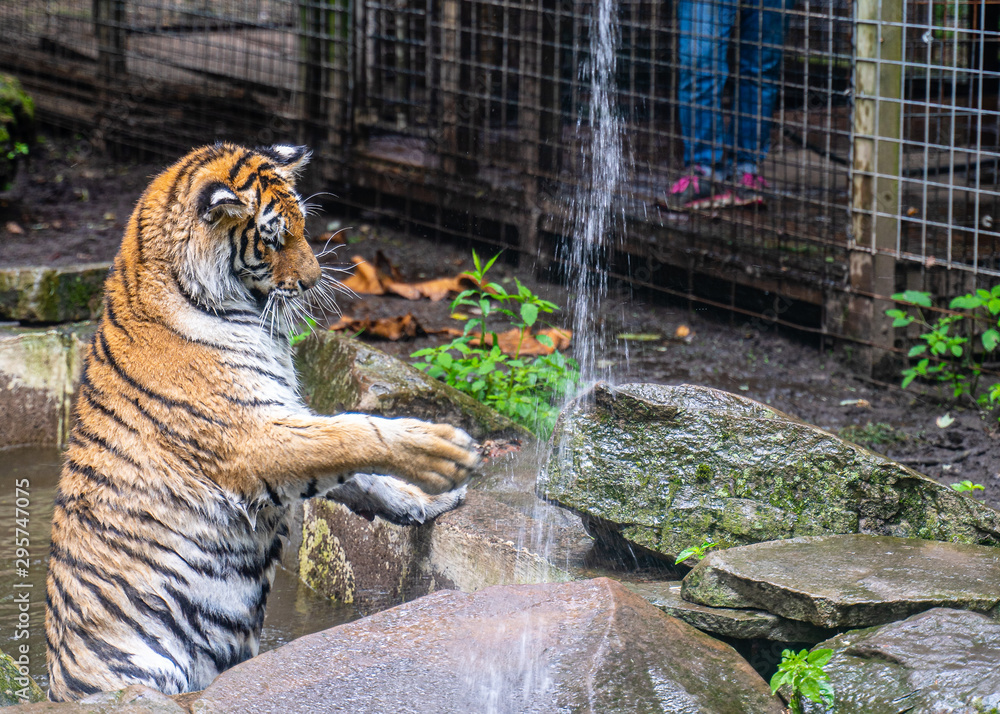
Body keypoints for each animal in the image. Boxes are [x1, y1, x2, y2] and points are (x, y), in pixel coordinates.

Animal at [47, 142, 480, 700]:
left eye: (304, 227)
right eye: (274, 238)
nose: (315, 281)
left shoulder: (282, 418)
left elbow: (360, 474)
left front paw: (430, 499)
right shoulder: (250, 437)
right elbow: (353, 431)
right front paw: (444, 454)